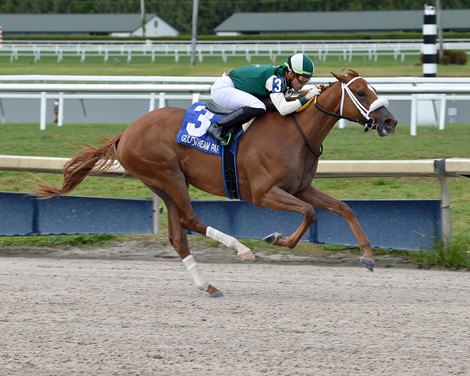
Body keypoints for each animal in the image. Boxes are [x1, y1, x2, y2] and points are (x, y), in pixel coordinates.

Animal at [37, 69, 396, 296]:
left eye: (373, 89)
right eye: (361, 92)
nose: (390, 121)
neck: (295, 133)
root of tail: (127, 132)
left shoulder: (301, 187)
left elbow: (343, 208)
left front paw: (368, 256)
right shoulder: (263, 193)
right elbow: (309, 213)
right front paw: (277, 239)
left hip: (163, 184)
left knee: (178, 234)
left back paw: (207, 285)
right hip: (168, 174)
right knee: (190, 219)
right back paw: (241, 249)